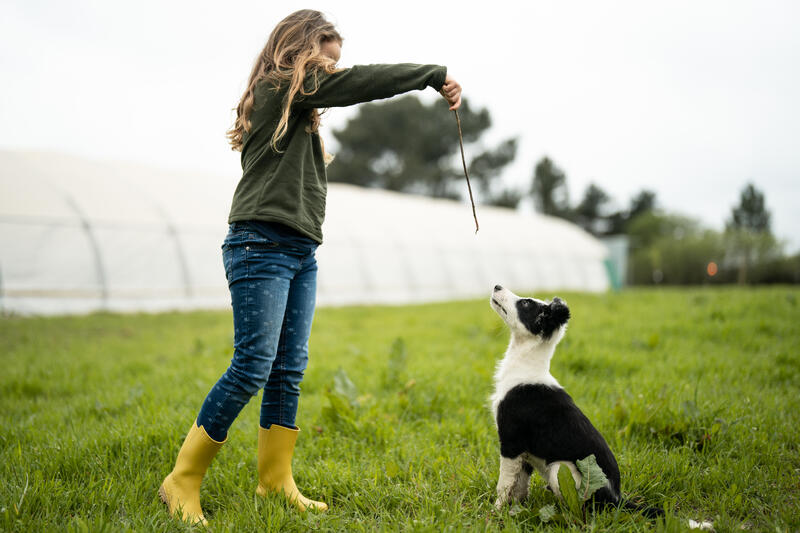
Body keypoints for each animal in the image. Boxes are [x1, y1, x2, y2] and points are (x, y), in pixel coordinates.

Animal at [488, 284, 620, 510]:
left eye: (525, 303)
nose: (497, 285)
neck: (525, 367)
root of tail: (618, 500)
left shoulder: (511, 441)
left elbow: (504, 484)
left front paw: (496, 511)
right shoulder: (524, 451)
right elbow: (520, 484)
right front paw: (517, 508)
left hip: (561, 469)